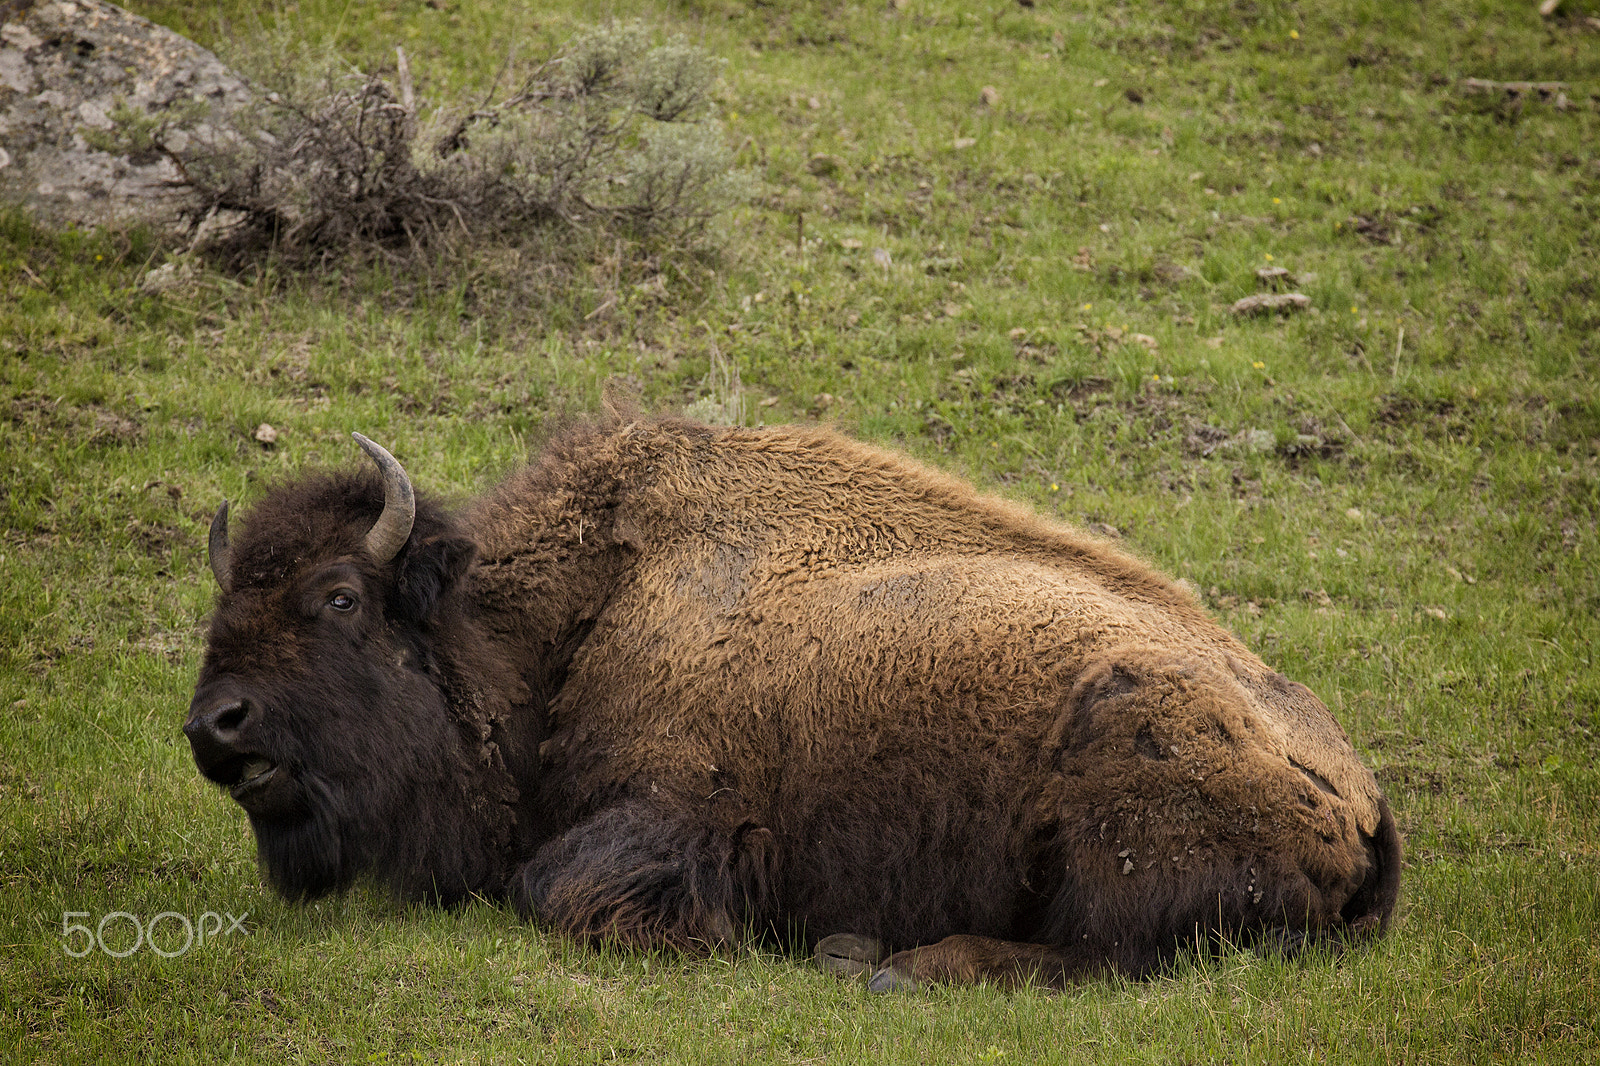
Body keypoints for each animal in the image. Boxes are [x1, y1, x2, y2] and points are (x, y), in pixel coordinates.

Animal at [186, 418, 1400, 989]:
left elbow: (551, 888)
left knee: (1104, 956)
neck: (585, 609)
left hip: (1113, 793)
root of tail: (1366, 802)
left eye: (339, 597)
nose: (214, 725)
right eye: (226, 599)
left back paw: (884, 965)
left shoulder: (681, 813)